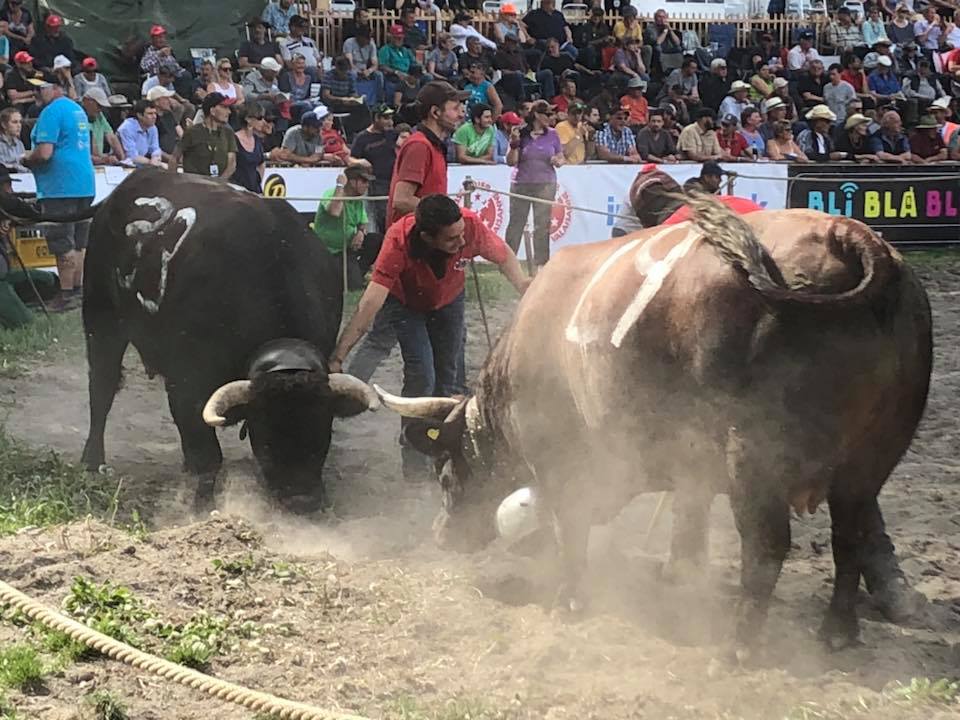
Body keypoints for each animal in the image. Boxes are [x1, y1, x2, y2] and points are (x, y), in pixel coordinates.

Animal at [73, 169, 378, 510]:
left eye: (322, 430)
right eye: (267, 437)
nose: (302, 499)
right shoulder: (186, 383)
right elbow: (209, 455)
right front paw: (201, 504)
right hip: (101, 319)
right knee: (102, 387)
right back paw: (92, 461)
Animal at [378, 198, 932, 652]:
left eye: (445, 471)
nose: (442, 534)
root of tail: (850, 236)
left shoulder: (564, 465)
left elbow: (569, 526)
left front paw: (569, 597)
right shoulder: (690, 465)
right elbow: (687, 522)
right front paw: (679, 579)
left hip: (756, 458)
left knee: (768, 546)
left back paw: (739, 646)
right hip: (869, 461)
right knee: (851, 536)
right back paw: (838, 629)